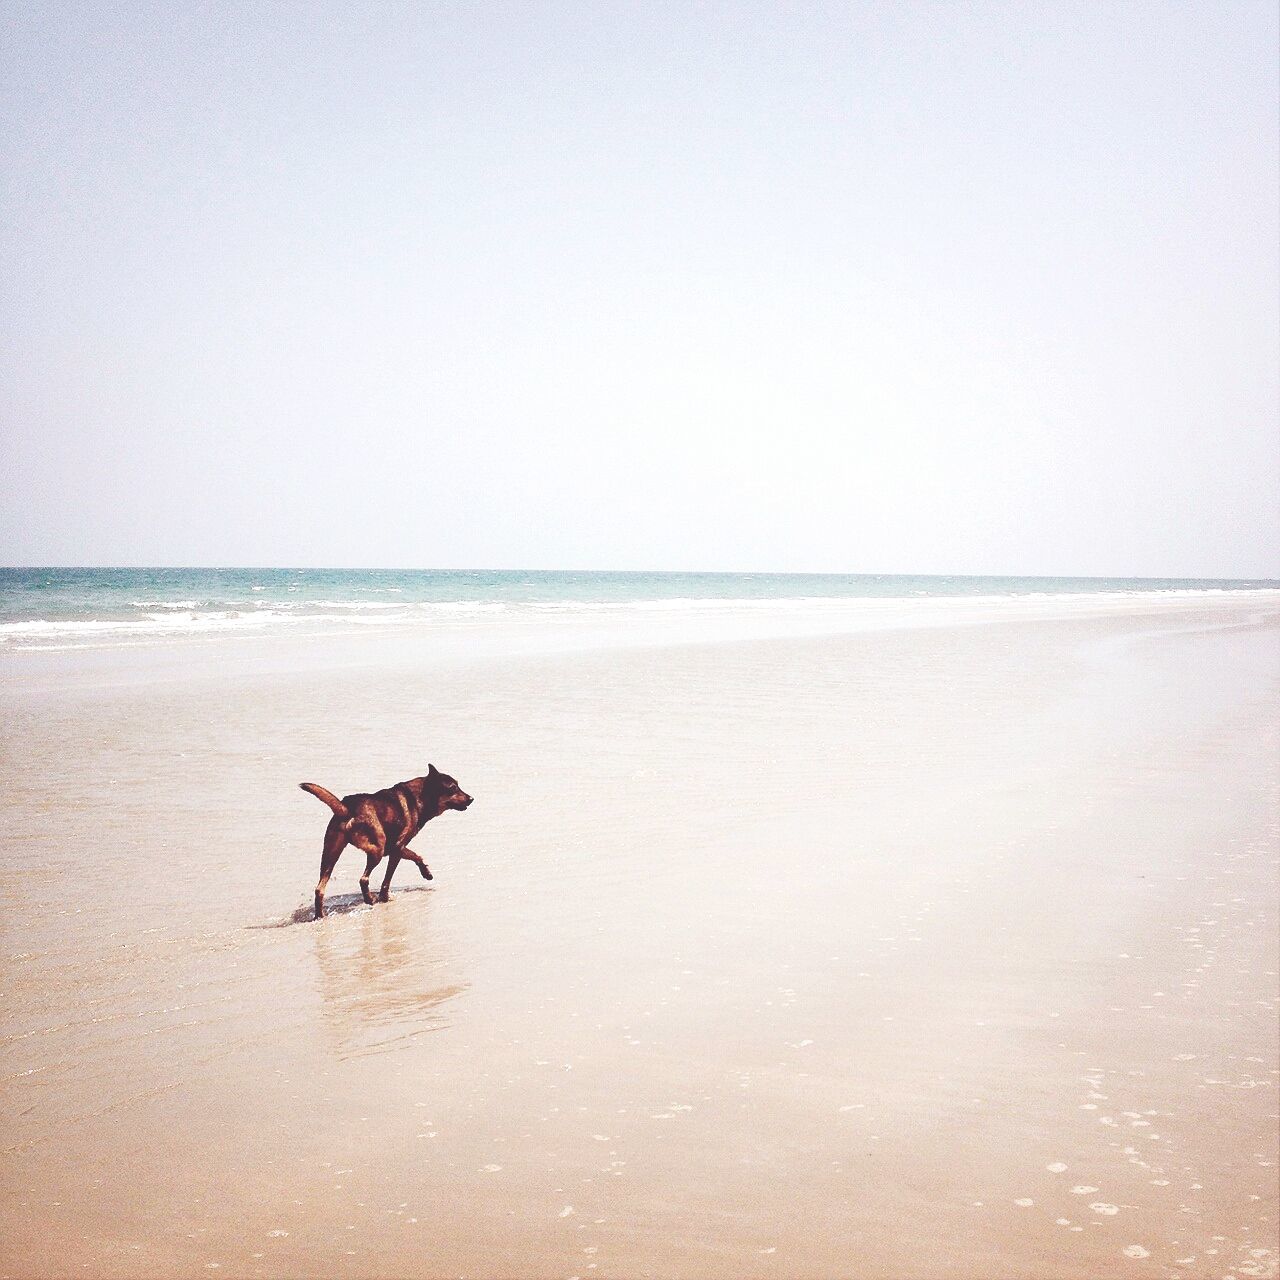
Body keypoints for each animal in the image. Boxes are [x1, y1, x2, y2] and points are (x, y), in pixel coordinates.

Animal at [302, 762, 473, 916]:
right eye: (453, 788)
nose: (471, 798)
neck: (421, 796)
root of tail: (347, 808)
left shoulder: (396, 848)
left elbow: (416, 856)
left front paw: (426, 873)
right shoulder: (397, 848)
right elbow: (388, 879)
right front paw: (385, 898)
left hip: (330, 855)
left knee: (319, 890)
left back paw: (320, 916)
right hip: (377, 849)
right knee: (363, 879)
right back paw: (369, 899)